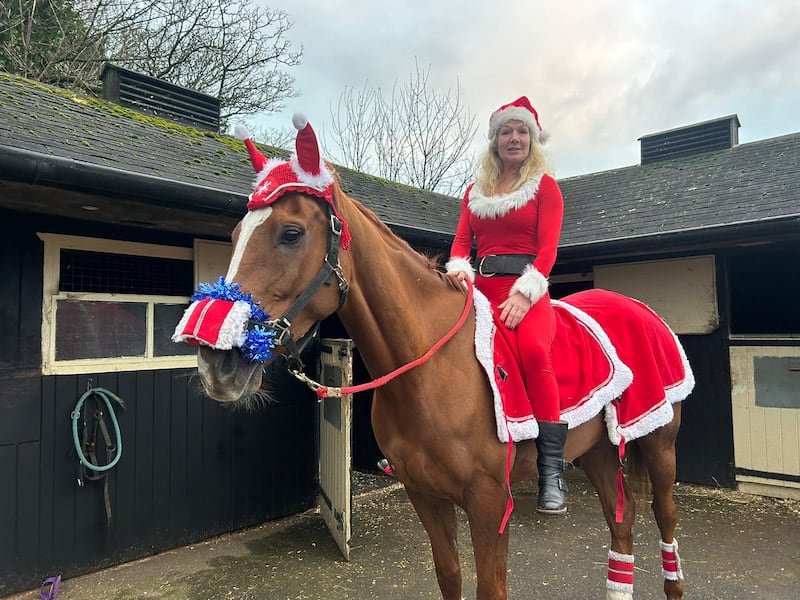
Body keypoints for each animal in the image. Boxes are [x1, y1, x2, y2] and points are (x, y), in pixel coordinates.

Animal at [195, 179, 688, 600]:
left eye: (291, 233)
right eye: (236, 234)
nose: (217, 365)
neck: (431, 369)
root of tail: (640, 307)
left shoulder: (490, 504)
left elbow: (491, 588)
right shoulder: (425, 496)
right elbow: (449, 575)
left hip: (660, 444)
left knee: (665, 523)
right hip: (600, 449)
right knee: (622, 525)